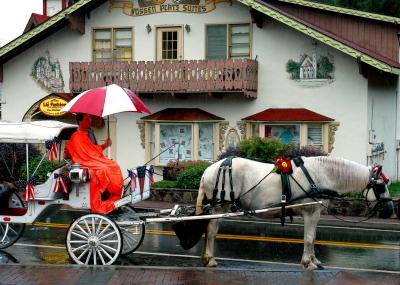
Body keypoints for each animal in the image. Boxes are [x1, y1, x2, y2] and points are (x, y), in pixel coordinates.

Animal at [195, 156, 396, 270]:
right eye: (380, 186)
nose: (390, 210)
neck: (321, 175)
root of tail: (209, 169)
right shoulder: (310, 211)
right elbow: (308, 238)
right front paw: (308, 262)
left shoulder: (316, 213)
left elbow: (313, 238)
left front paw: (314, 260)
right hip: (220, 207)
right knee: (211, 232)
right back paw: (210, 259)